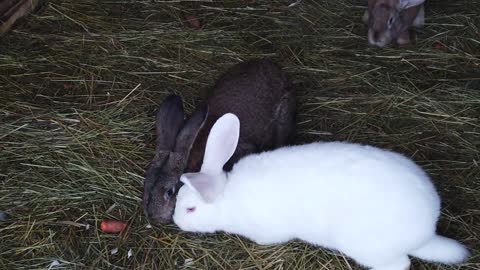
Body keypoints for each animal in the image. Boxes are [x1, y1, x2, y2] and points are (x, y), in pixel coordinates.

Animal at [172, 113, 468, 270]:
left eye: (190, 209)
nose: (176, 221)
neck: (229, 196)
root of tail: (426, 232)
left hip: (370, 248)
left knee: (401, 264)